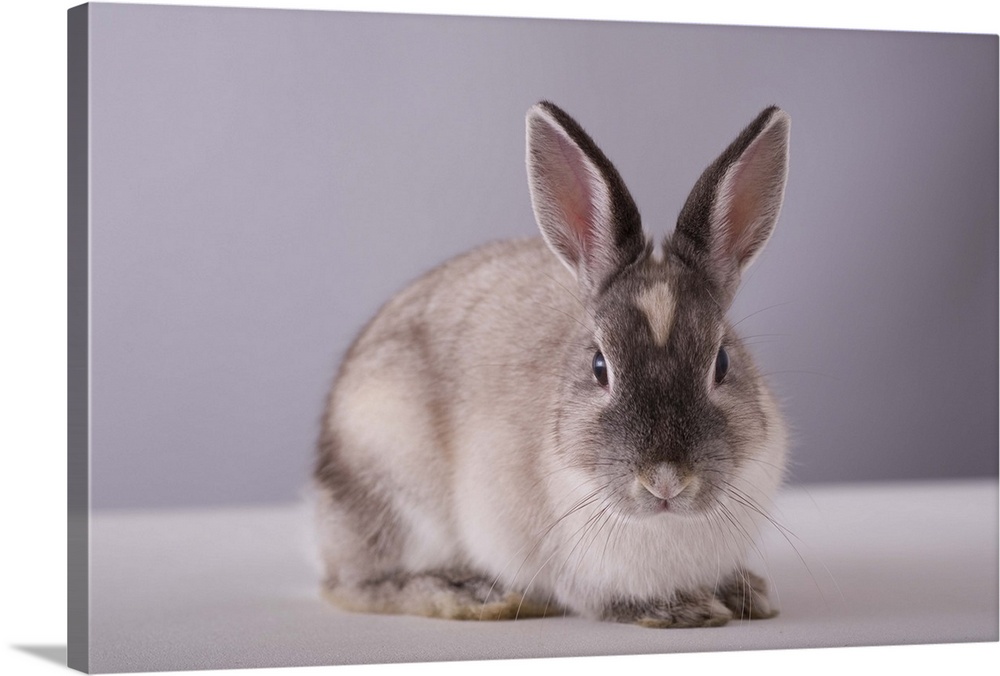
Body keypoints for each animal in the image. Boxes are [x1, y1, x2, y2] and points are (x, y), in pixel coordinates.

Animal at [312, 101, 788, 628]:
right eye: (600, 367)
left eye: (721, 363)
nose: (665, 480)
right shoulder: (571, 570)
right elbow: (603, 599)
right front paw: (687, 608)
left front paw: (748, 594)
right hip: (394, 489)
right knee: (356, 585)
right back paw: (471, 594)